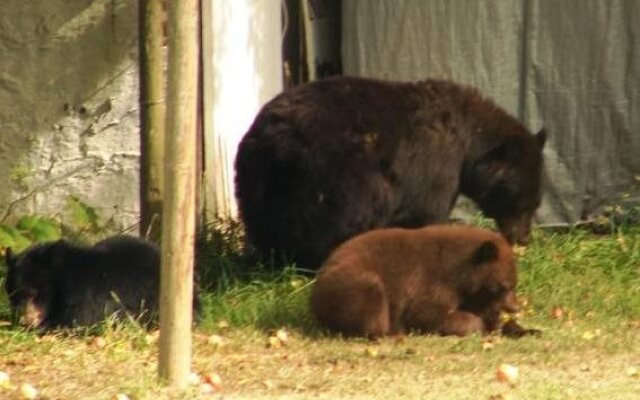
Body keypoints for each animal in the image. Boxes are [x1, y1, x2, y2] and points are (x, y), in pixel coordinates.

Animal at [235, 75, 544, 268]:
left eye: (536, 202)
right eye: (523, 199)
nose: (524, 237)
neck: (469, 139)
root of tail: (276, 138)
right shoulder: (437, 167)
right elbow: (429, 213)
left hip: (255, 178)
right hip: (336, 178)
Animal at [310, 225, 540, 338]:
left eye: (513, 284)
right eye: (502, 287)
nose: (514, 307)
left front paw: (523, 328)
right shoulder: (428, 281)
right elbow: (428, 313)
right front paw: (478, 325)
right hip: (353, 283)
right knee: (371, 304)